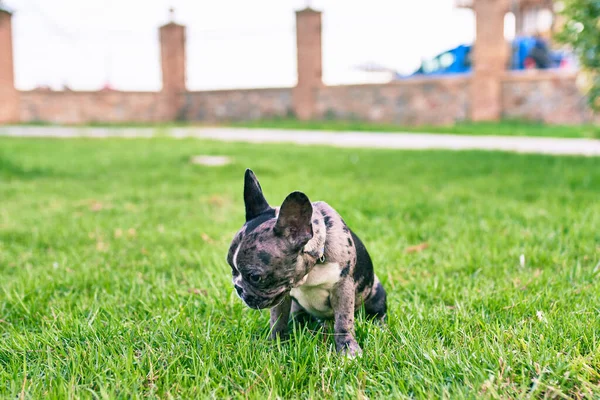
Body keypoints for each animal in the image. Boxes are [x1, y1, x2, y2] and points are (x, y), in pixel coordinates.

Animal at [226, 169, 390, 356]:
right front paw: (274, 344)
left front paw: (348, 350)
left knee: (377, 313)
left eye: (255, 277)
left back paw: (380, 327)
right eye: (231, 268)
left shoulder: (343, 288)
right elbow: (277, 320)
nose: (237, 287)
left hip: (375, 289)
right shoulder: (282, 296)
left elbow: (343, 321)